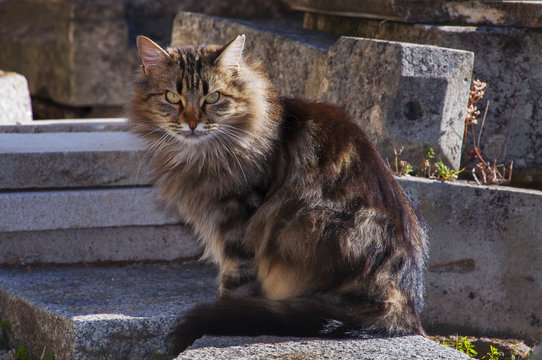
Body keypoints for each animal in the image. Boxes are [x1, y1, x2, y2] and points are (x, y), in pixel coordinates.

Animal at [131, 33, 430, 354]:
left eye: (213, 98)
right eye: (172, 98)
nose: (191, 123)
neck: (201, 155)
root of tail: (406, 309)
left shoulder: (239, 222)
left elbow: (235, 284)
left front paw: (226, 313)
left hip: (313, 221)